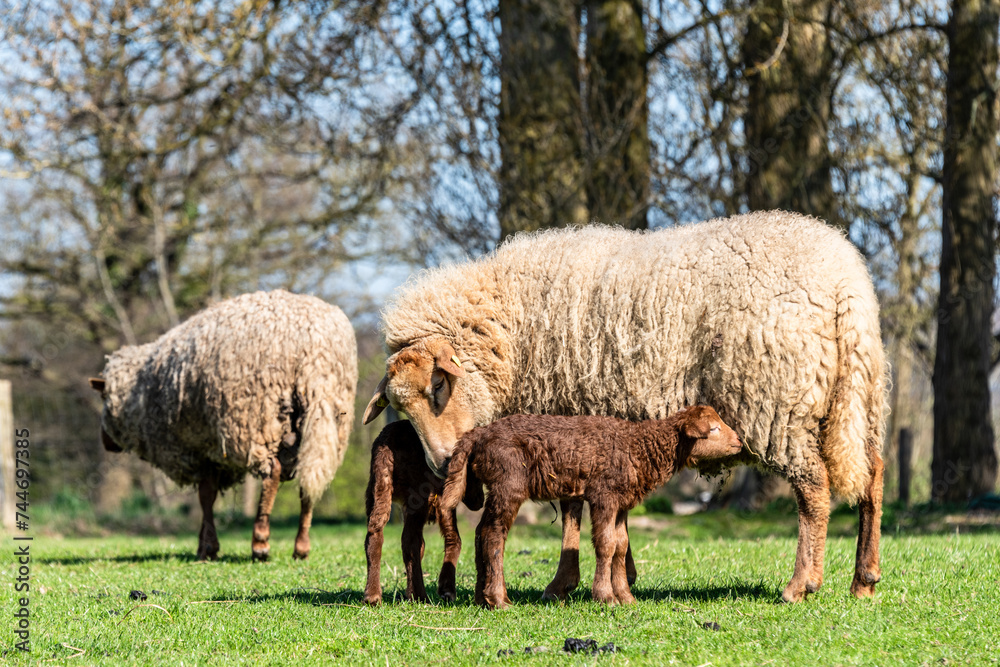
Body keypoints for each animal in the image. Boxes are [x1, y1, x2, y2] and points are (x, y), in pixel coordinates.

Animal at [88, 290, 358, 560]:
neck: (140, 394)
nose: (104, 441)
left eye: (103, 397)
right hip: (325, 420)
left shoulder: (199, 448)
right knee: (310, 479)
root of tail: (314, 348)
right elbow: (209, 493)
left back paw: (260, 542)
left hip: (256, 419)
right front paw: (204, 545)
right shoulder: (212, 450)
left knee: (272, 472)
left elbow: (206, 495)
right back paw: (301, 547)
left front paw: (207, 547)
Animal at [364, 422, 484, 604]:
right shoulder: (443, 501)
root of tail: (390, 438)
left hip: (377, 485)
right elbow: (454, 539)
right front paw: (447, 589)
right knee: (410, 542)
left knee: (374, 534)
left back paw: (372, 596)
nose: (480, 502)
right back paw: (419, 595)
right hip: (417, 493)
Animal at [442, 408, 740, 612]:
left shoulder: (621, 501)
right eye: (714, 428)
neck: (640, 448)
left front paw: (626, 598)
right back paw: (498, 600)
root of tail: (477, 435)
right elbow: (606, 544)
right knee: (494, 534)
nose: (739, 441)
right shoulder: (603, 494)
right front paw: (606, 597)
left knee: (481, 531)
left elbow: (621, 545)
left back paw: (482, 598)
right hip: (508, 482)